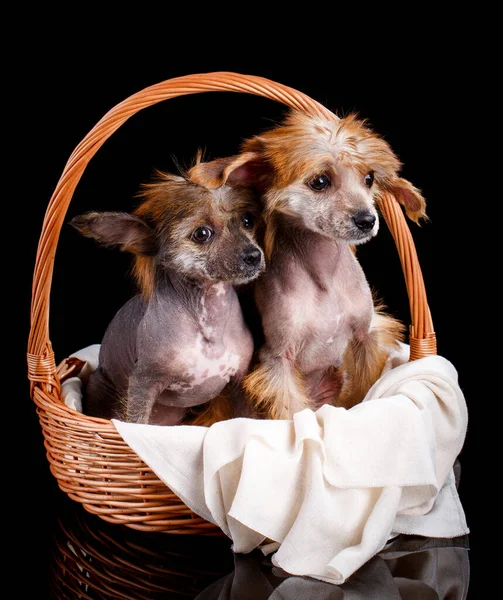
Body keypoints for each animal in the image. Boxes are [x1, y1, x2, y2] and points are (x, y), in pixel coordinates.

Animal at [73, 157, 268, 424]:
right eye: (202, 234)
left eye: (247, 221)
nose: (253, 255)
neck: (208, 320)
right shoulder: (142, 386)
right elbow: (136, 422)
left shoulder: (239, 382)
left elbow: (246, 419)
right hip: (100, 386)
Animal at [191, 110, 428, 420]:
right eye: (320, 181)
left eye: (369, 178)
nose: (367, 219)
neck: (323, 277)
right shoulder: (279, 360)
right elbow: (290, 411)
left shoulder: (365, 339)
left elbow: (362, 391)